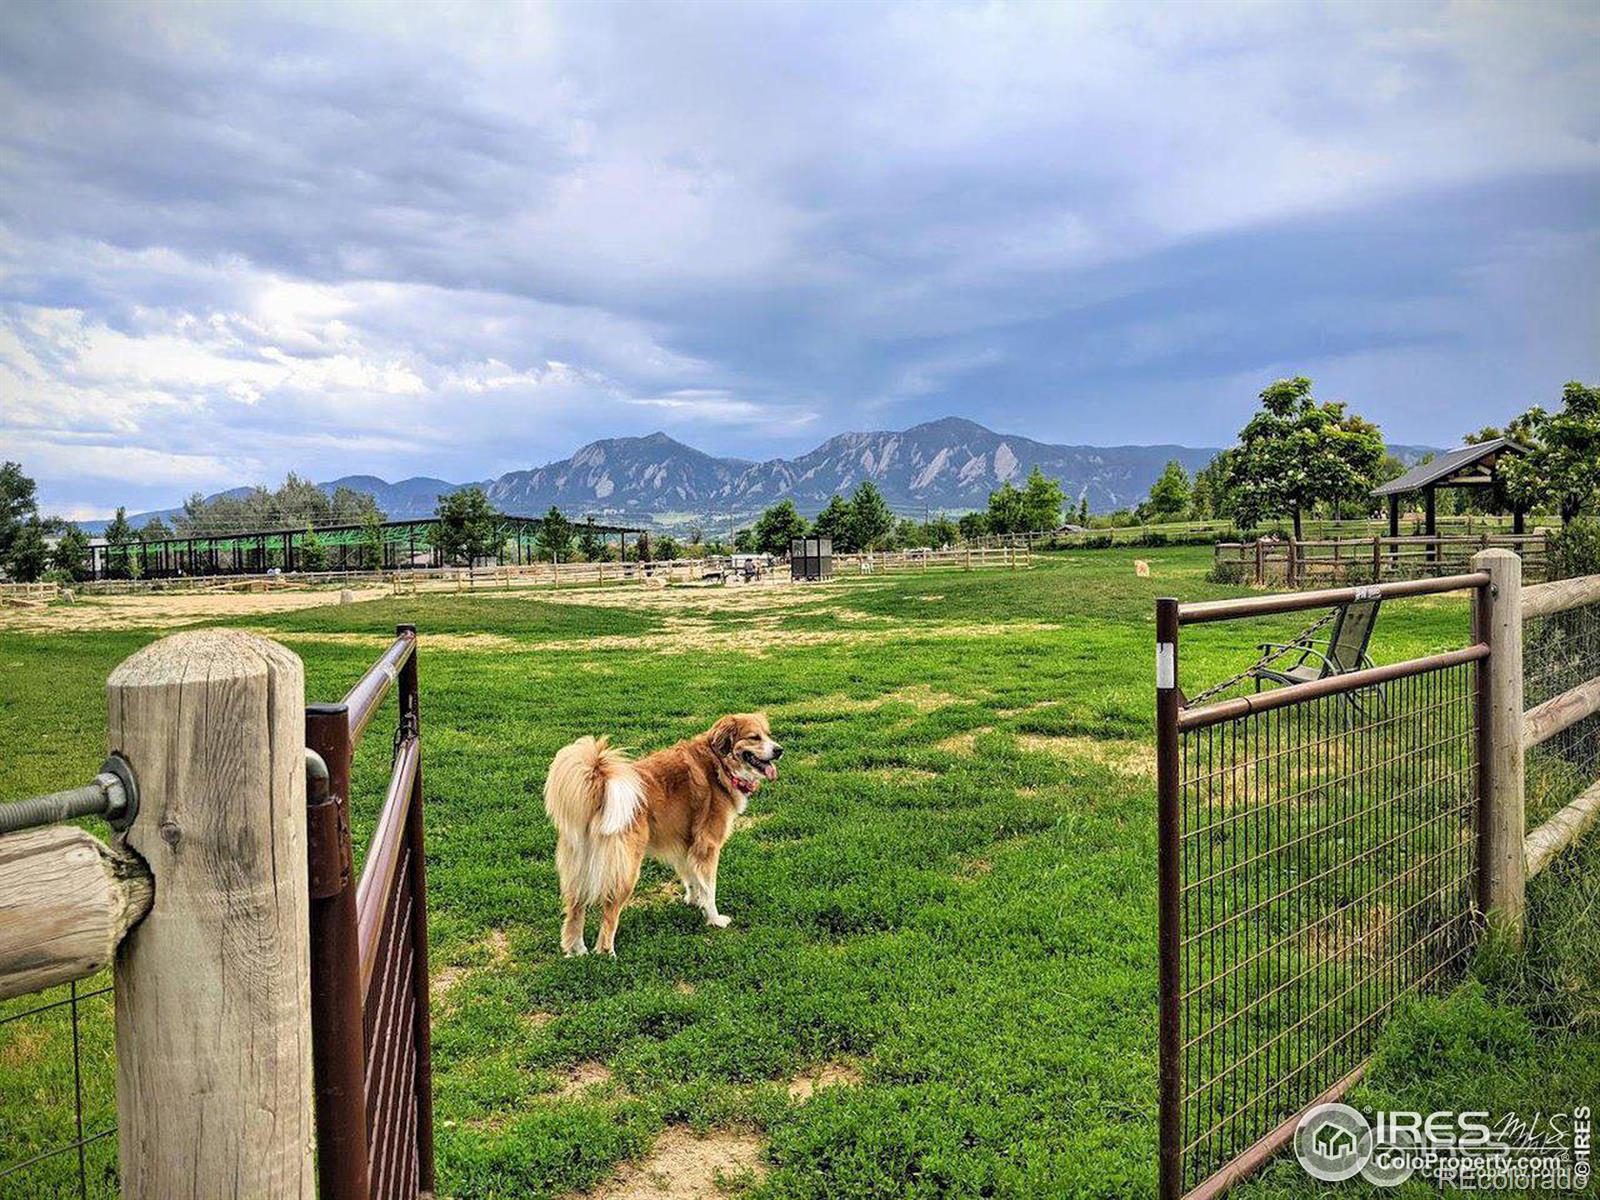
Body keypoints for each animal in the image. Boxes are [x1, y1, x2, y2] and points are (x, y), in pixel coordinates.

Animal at [540, 713, 784, 960]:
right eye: (754, 737)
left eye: (768, 734)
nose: (779, 750)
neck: (719, 764)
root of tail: (599, 786)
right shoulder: (708, 846)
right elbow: (709, 888)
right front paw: (714, 919)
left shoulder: (686, 845)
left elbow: (691, 879)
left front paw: (693, 902)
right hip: (625, 870)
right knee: (609, 915)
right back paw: (608, 955)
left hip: (580, 868)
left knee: (575, 911)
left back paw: (577, 951)